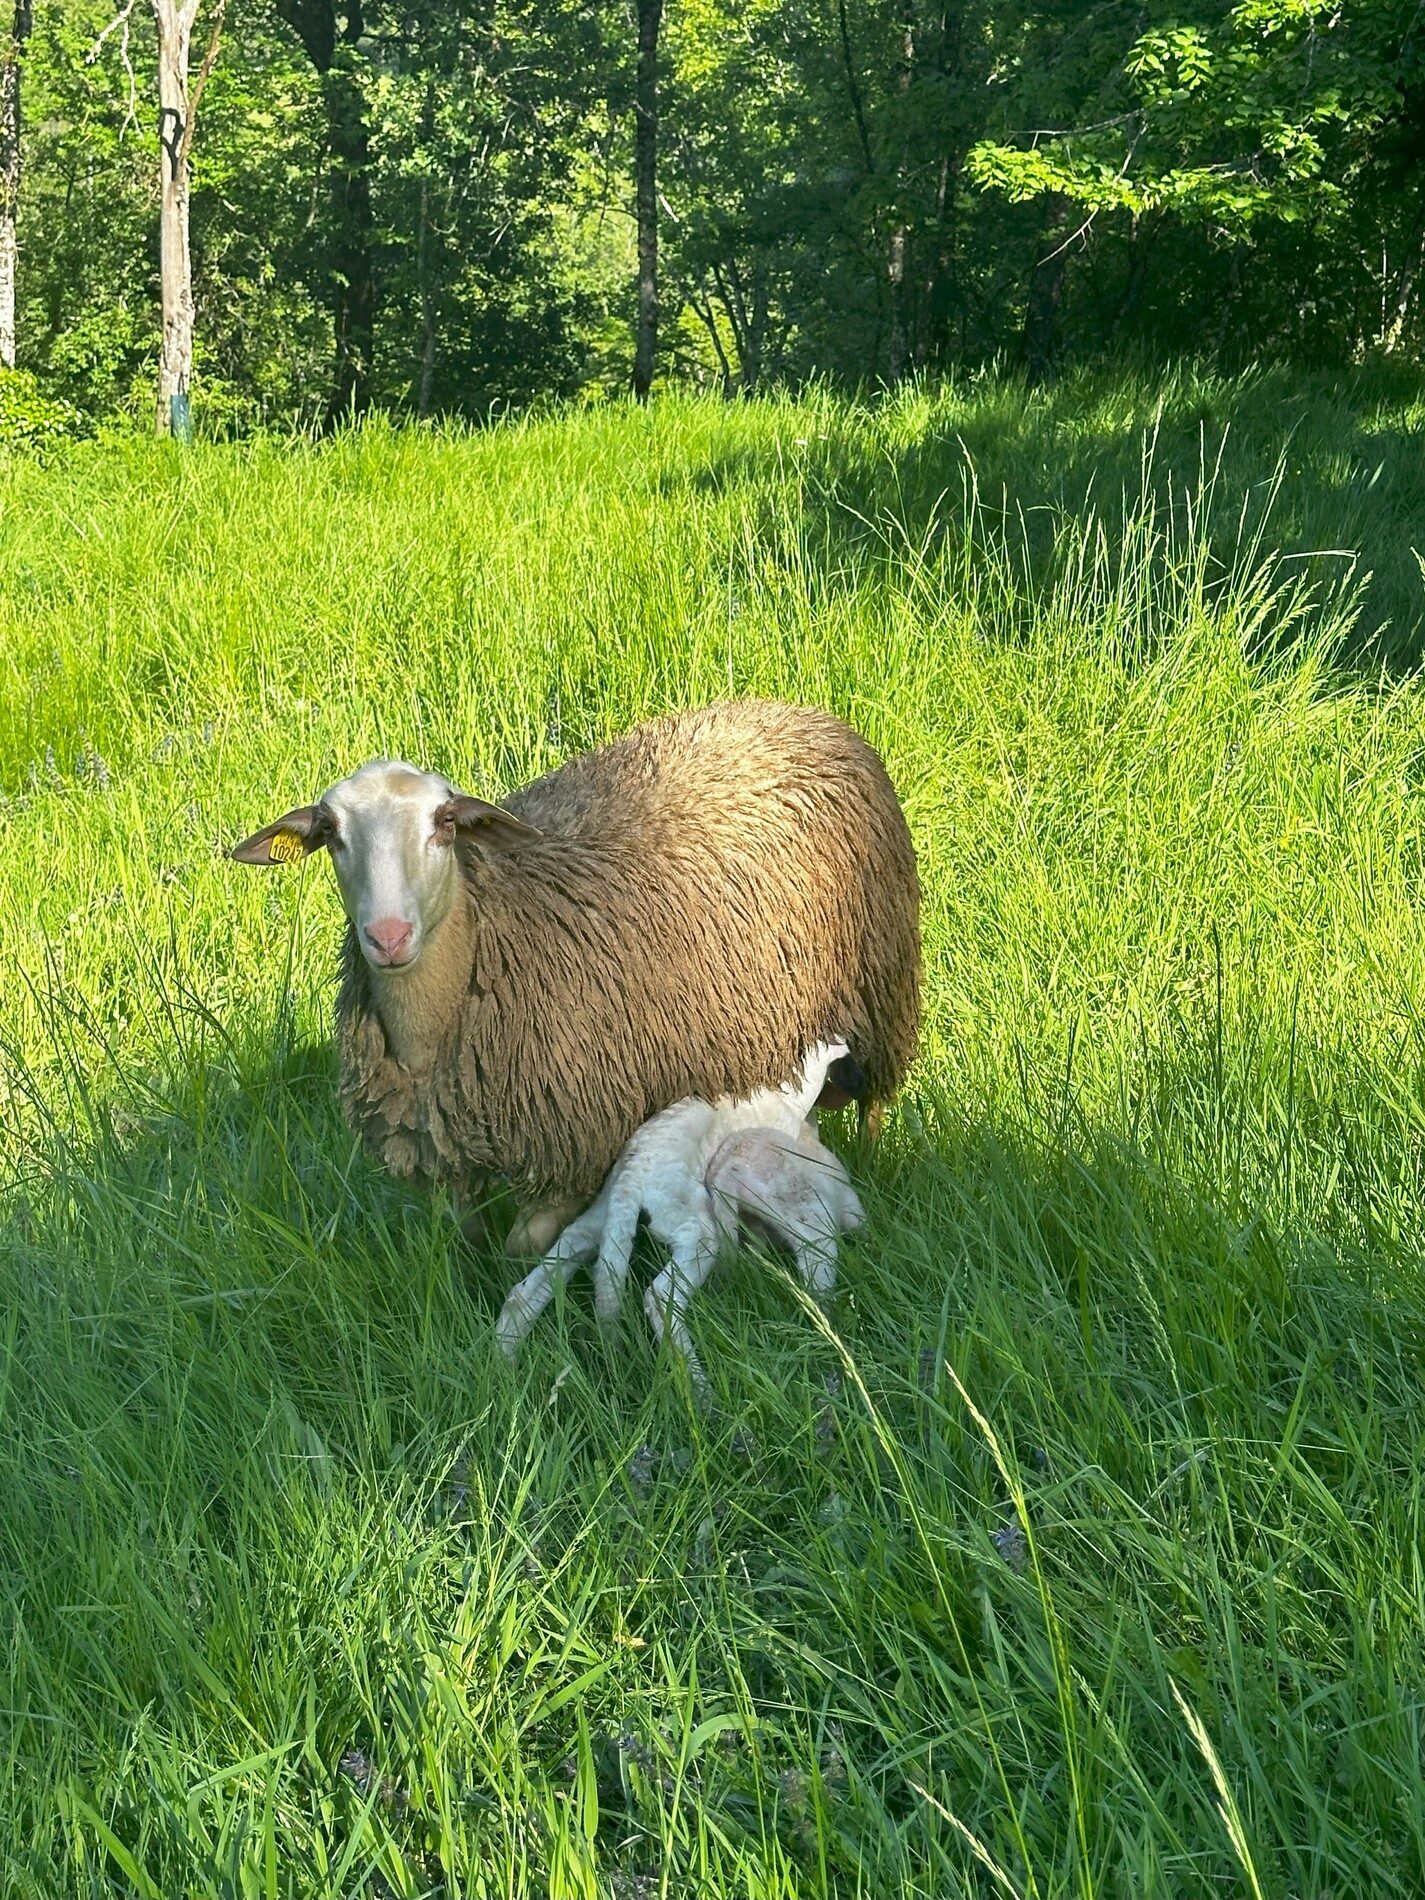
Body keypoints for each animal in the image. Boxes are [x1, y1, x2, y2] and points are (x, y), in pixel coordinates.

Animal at [497, 1041, 866, 1383]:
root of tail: (634, 1172)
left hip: (604, 1221)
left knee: (529, 1289)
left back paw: (506, 1365)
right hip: (696, 1232)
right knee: (660, 1298)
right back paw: (699, 1388)